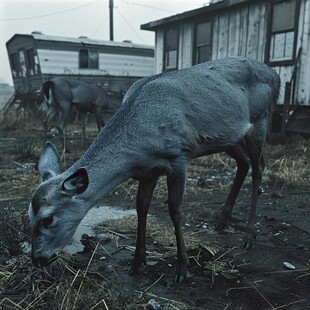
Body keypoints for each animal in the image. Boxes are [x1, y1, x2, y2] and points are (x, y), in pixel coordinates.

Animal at [29, 57, 280, 282]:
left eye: (47, 219)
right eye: (28, 215)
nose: (37, 259)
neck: (138, 147)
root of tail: (275, 75)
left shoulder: (179, 157)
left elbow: (175, 211)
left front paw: (182, 268)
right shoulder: (148, 171)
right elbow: (141, 207)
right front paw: (137, 263)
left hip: (260, 119)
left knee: (258, 169)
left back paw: (248, 235)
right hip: (229, 137)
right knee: (244, 163)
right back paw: (222, 219)